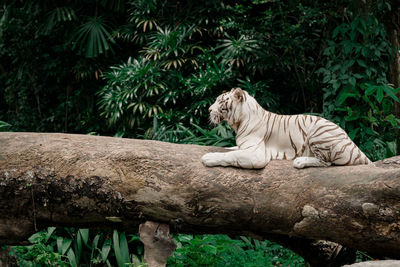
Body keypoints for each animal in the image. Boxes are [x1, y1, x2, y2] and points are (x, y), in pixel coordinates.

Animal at [202, 88, 374, 170]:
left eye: (220, 101)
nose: (209, 110)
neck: (240, 121)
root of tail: (357, 148)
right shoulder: (245, 147)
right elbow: (232, 149)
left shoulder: (257, 154)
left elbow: (230, 156)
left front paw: (208, 158)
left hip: (318, 131)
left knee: (326, 162)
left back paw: (300, 161)